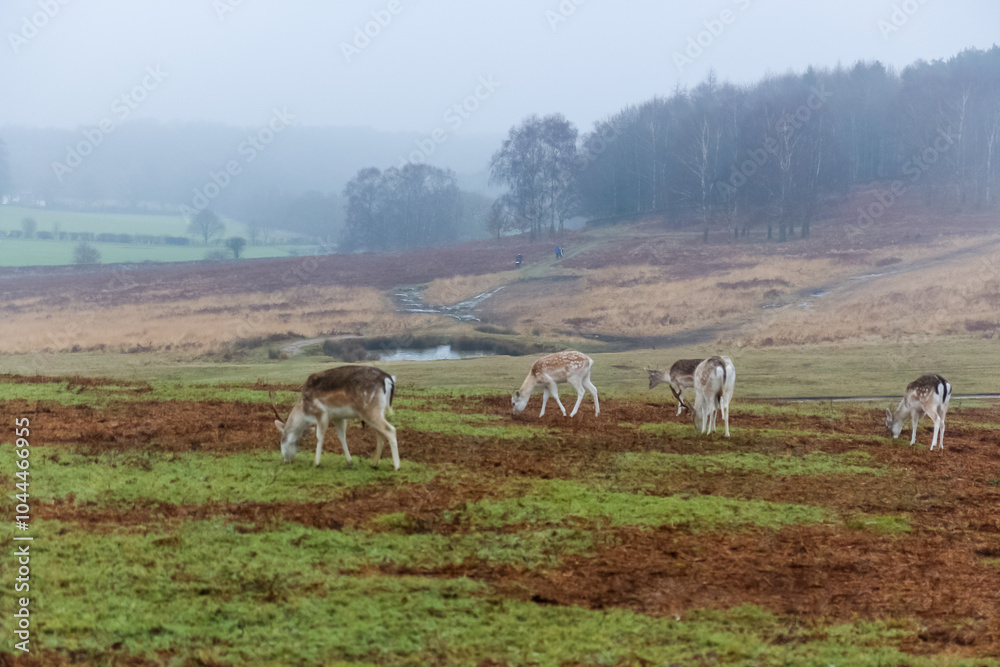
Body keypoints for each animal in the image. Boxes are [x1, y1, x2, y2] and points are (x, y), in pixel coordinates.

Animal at [271, 365, 400, 470]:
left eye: (282, 439)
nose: (286, 460)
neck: (303, 410)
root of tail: (388, 378)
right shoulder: (338, 417)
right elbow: (342, 436)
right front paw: (350, 462)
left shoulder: (321, 413)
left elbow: (319, 436)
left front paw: (316, 463)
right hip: (379, 410)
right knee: (380, 434)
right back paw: (374, 463)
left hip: (369, 410)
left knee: (391, 430)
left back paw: (396, 466)